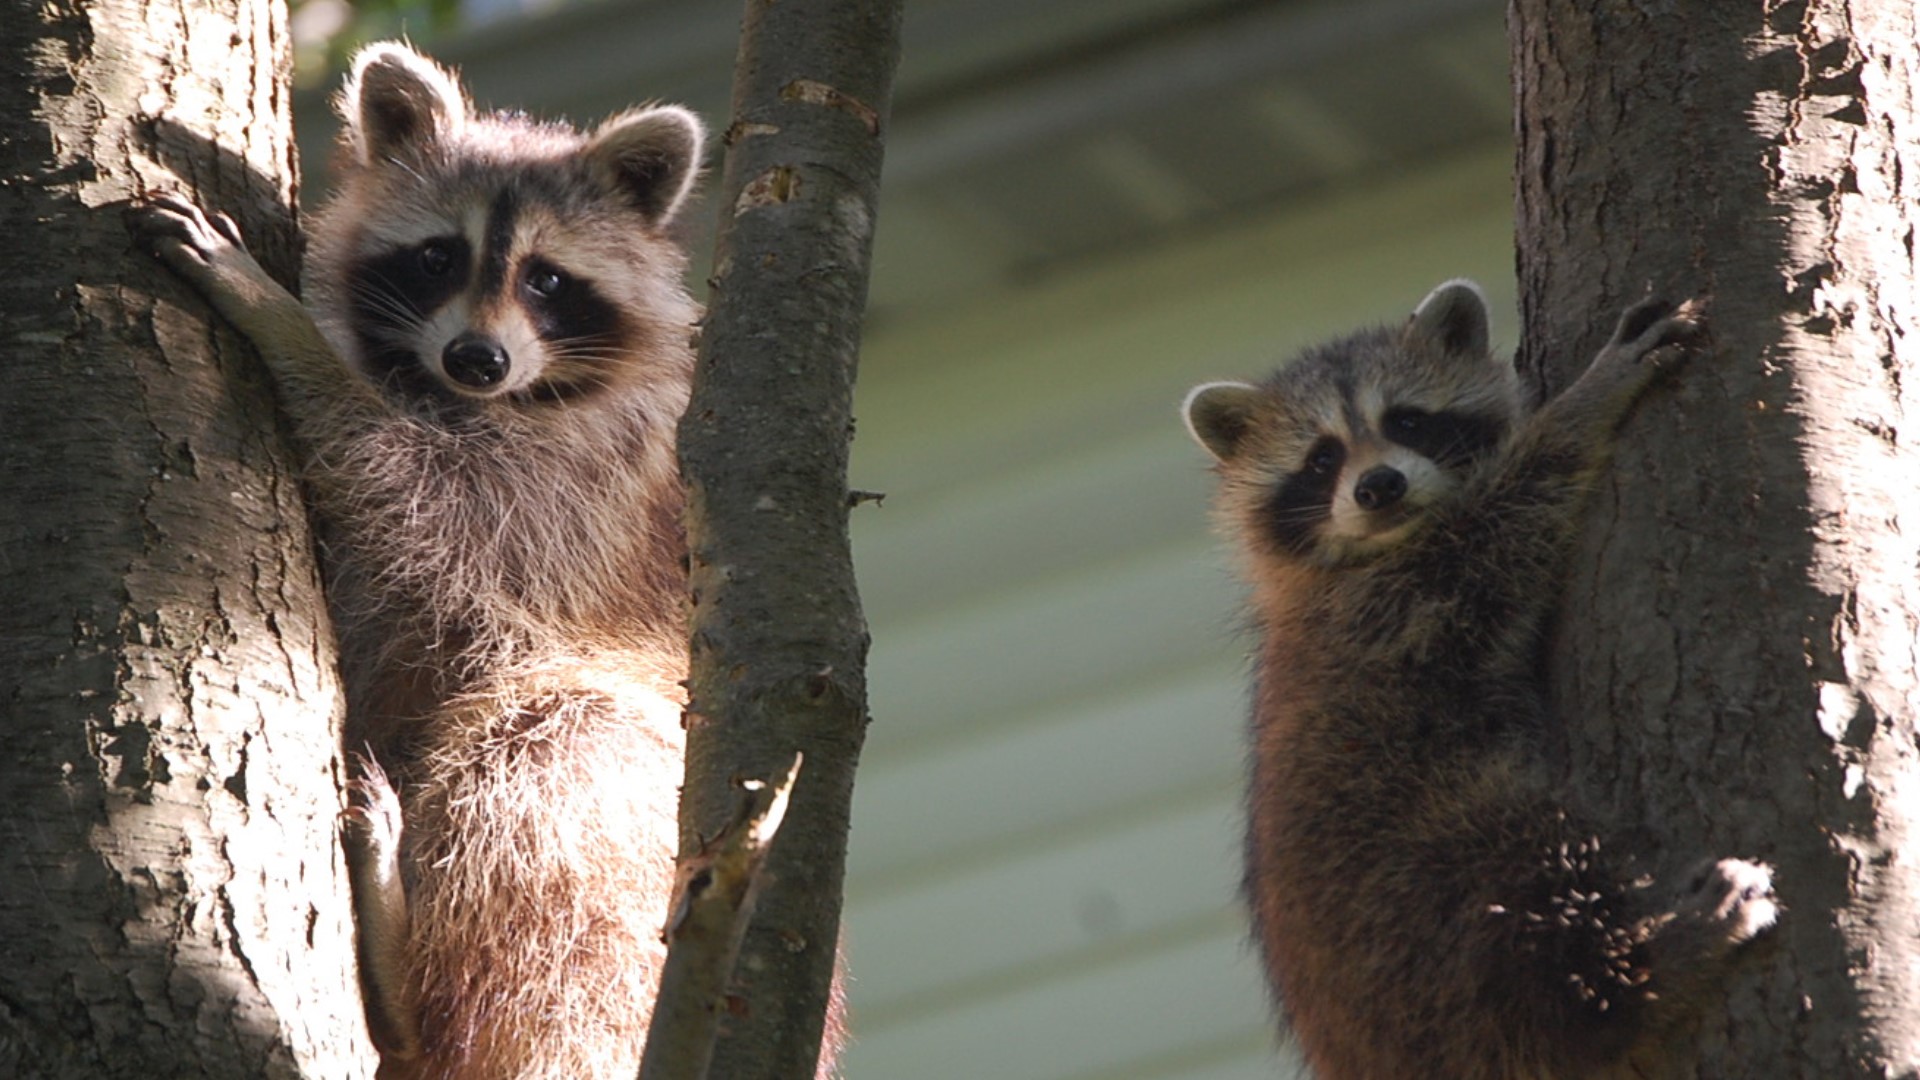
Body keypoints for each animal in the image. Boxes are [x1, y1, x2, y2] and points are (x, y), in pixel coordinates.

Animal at [137, 42, 817, 1080]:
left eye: (547, 280)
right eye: (437, 257)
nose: (477, 358)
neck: (473, 395)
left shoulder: (577, 488)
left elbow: (407, 486)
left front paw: (283, 324)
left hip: (630, 861)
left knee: (547, 749)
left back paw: (401, 978)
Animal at [1182, 281, 1775, 1079]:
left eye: (1407, 419)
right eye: (1321, 458)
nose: (1378, 486)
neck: (1379, 546)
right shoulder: (1387, 608)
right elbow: (1506, 520)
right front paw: (1581, 407)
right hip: (1426, 878)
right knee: (1533, 892)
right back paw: (1642, 974)